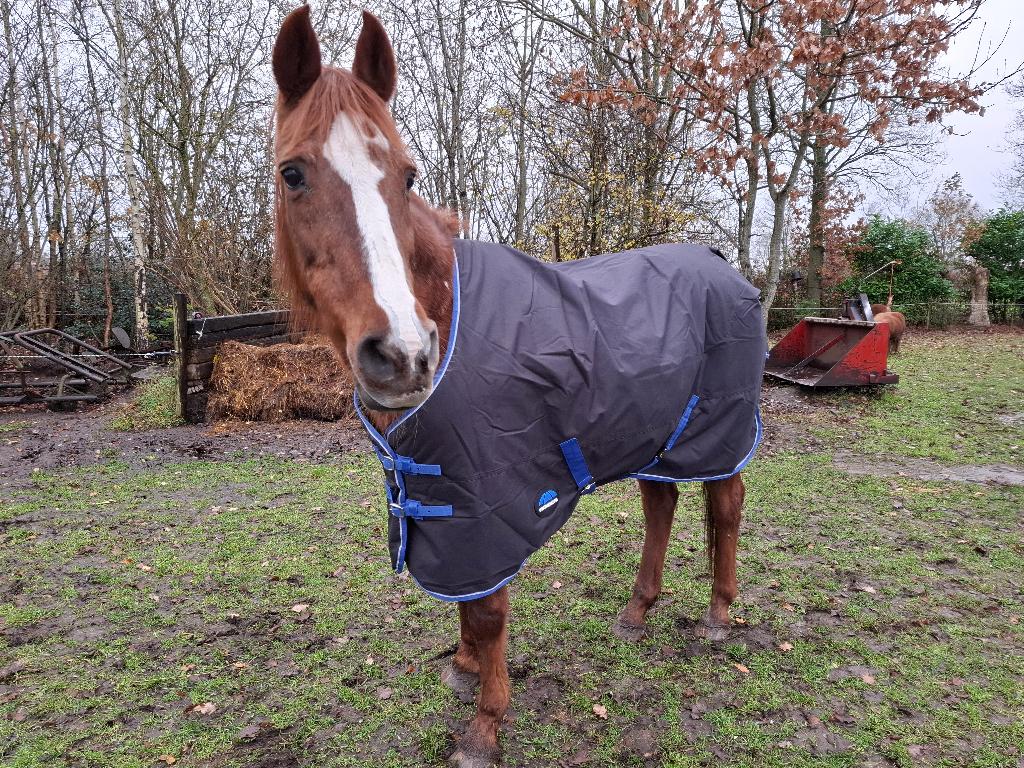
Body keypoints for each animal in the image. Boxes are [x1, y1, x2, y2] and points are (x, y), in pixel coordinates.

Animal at [271, 8, 759, 766]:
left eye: (406, 176)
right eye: (293, 173)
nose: (402, 354)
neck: (447, 311)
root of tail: (721, 262)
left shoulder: (486, 498)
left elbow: (490, 607)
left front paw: (485, 722)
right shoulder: (442, 495)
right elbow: (467, 601)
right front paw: (465, 667)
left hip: (718, 431)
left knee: (726, 507)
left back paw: (717, 614)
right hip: (659, 434)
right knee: (661, 504)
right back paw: (636, 612)